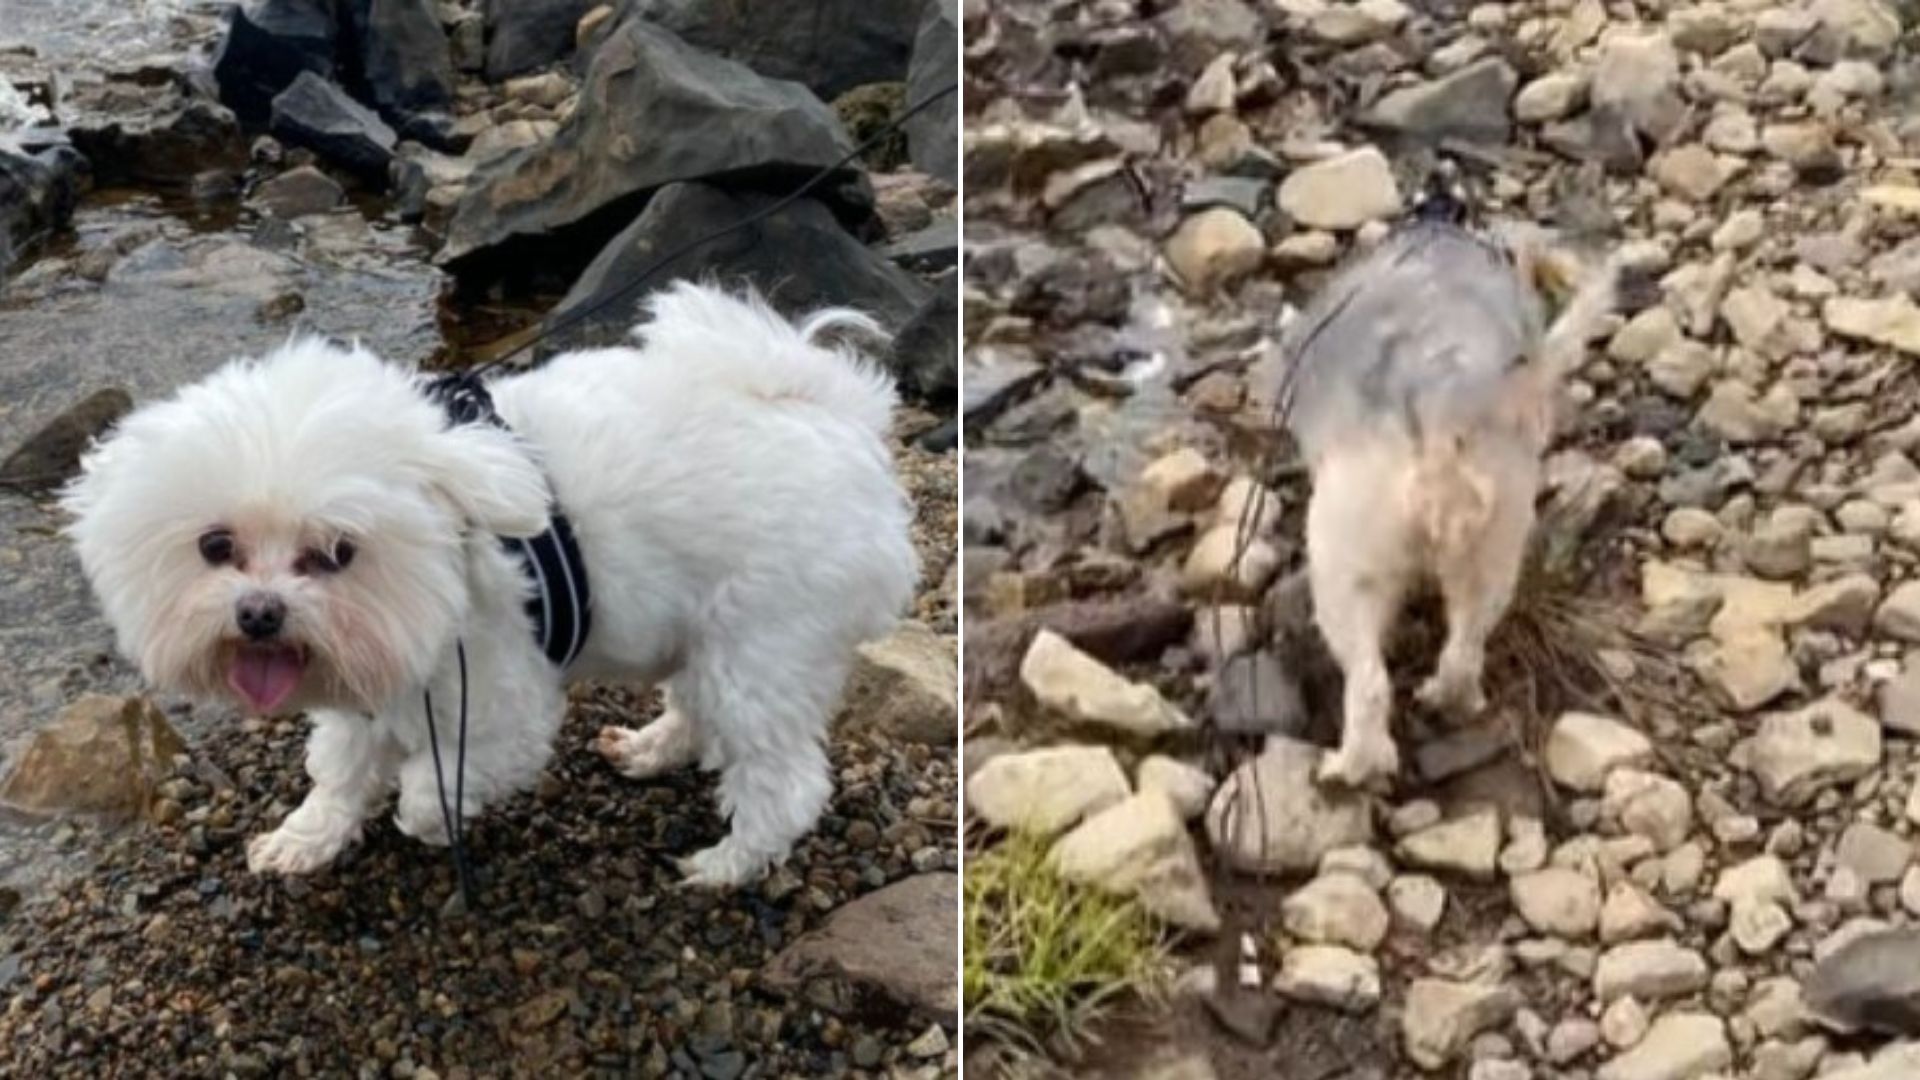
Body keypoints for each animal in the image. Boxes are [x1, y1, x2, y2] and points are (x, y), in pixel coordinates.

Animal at [63, 278, 917, 883]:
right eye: (215, 546)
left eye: (338, 553)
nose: (260, 613)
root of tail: (835, 415)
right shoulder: (369, 682)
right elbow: (339, 771)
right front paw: (307, 838)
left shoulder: (501, 708)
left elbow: (426, 787)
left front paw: (428, 820)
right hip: (709, 634)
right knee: (697, 707)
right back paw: (652, 749)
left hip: (763, 646)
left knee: (785, 782)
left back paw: (727, 865)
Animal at [1282, 212, 1628, 780]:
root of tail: (1441, 412)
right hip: (1495, 543)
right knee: (1464, 650)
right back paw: (1451, 701)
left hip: (1344, 560)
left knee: (1369, 682)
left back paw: (1346, 768)